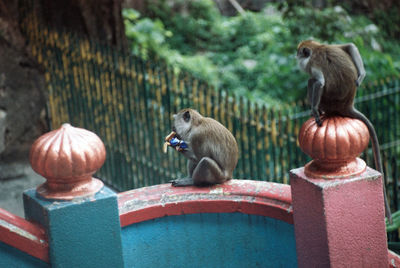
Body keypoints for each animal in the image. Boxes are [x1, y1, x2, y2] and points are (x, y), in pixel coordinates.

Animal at [296, 40, 392, 224]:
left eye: (299, 55)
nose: (295, 58)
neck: (317, 47)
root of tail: (347, 106)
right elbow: (349, 46)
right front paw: (362, 74)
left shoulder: (312, 64)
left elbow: (319, 82)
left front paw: (314, 111)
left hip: (328, 102)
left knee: (312, 81)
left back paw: (319, 110)